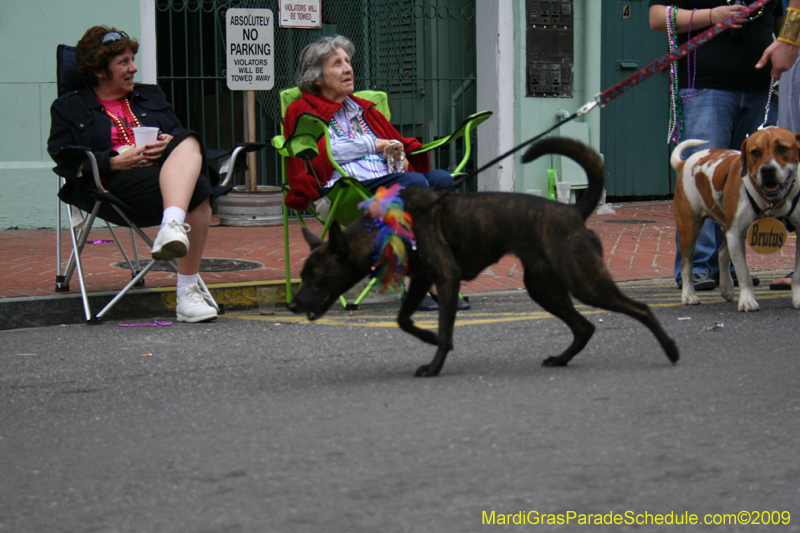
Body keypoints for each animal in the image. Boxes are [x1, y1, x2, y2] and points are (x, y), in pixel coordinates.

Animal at [284, 139, 680, 376]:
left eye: (318, 277)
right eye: (301, 276)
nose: (291, 305)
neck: (387, 225)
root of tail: (572, 212)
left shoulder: (446, 277)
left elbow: (444, 329)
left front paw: (435, 361)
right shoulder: (423, 280)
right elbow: (403, 319)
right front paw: (428, 339)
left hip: (584, 281)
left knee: (641, 308)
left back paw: (671, 349)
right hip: (544, 287)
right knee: (584, 327)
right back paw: (561, 359)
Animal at [668, 126, 800, 310]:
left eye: (781, 148)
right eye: (755, 152)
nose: (767, 170)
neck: (772, 201)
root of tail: (685, 162)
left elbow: (798, 274)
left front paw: (798, 297)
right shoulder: (736, 234)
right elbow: (744, 273)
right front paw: (747, 300)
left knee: (722, 252)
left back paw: (726, 287)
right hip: (689, 228)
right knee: (686, 265)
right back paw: (689, 295)